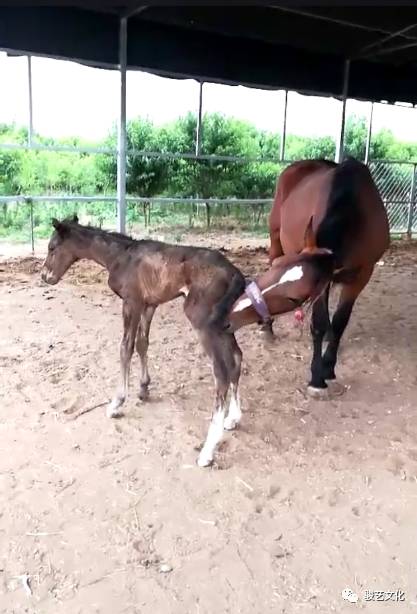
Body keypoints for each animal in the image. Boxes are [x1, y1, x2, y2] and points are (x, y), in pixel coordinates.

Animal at [41, 217, 335, 466]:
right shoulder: (149, 305)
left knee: (222, 371)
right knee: (236, 359)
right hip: (225, 323)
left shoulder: (132, 302)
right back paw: (233, 418)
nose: (45, 277)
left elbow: (125, 347)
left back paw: (208, 451)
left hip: (202, 321)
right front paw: (144, 389)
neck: (121, 256)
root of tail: (236, 274)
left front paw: (117, 403)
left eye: (52, 247)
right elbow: (143, 344)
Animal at [268, 157, 390, 396]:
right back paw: (266, 327)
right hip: (275, 240)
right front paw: (317, 378)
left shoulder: (361, 275)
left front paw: (328, 367)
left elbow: (340, 321)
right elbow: (318, 323)